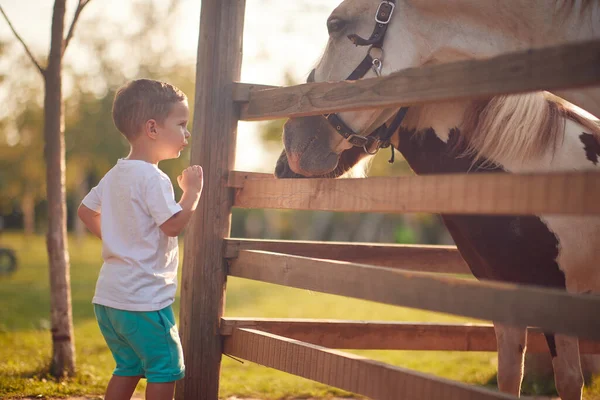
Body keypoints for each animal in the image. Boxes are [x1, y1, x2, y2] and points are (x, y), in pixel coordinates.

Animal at [276, 1, 600, 398]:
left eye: (334, 25)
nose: (289, 147)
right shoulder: (505, 303)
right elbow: (510, 377)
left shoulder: (555, 300)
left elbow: (569, 380)